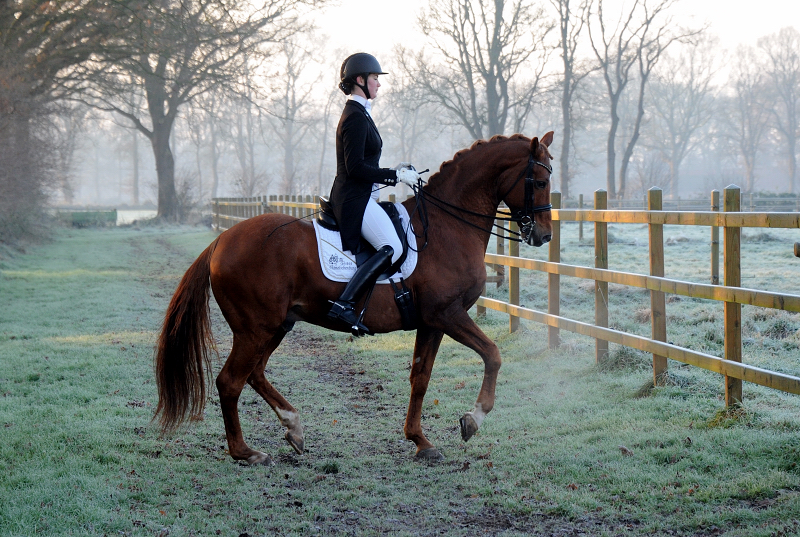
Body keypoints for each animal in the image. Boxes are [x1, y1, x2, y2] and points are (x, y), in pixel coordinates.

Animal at [156, 132, 556, 462]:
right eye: (539, 180)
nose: (544, 236)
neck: (445, 228)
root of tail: (221, 241)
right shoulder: (448, 314)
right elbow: (493, 354)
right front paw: (473, 419)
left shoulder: (431, 322)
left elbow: (421, 377)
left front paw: (420, 442)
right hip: (255, 330)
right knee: (230, 382)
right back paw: (246, 452)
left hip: (276, 326)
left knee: (253, 374)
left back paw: (293, 427)